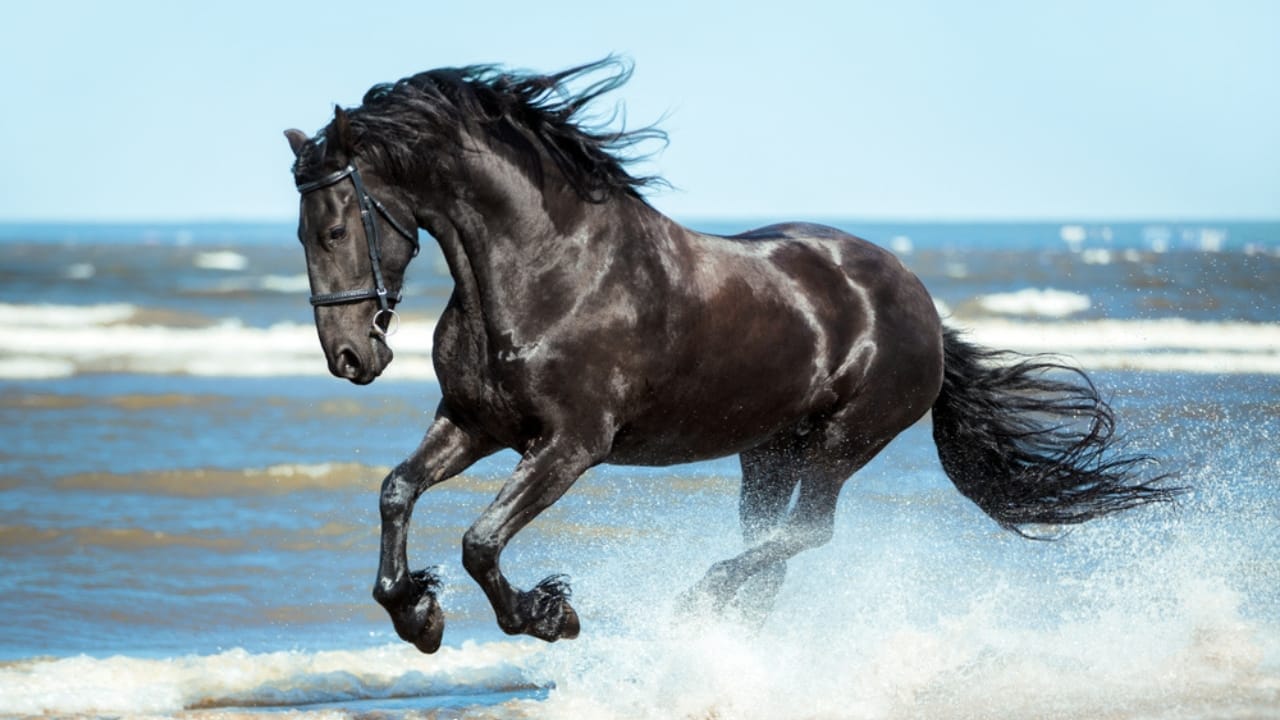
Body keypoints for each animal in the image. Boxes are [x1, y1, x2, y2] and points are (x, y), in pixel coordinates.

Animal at [283, 58, 1178, 653]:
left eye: (335, 226)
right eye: (300, 232)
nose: (350, 356)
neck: (546, 268)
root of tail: (919, 300)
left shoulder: (571, 445)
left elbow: (481, 540)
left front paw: (547, 614)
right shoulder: (474, 423)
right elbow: (397, 492)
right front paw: (416, 613)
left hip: (843, 441)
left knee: (806, 535)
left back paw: (699, 601)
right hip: (768, 452)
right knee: (774, 546)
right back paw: (728, 626)